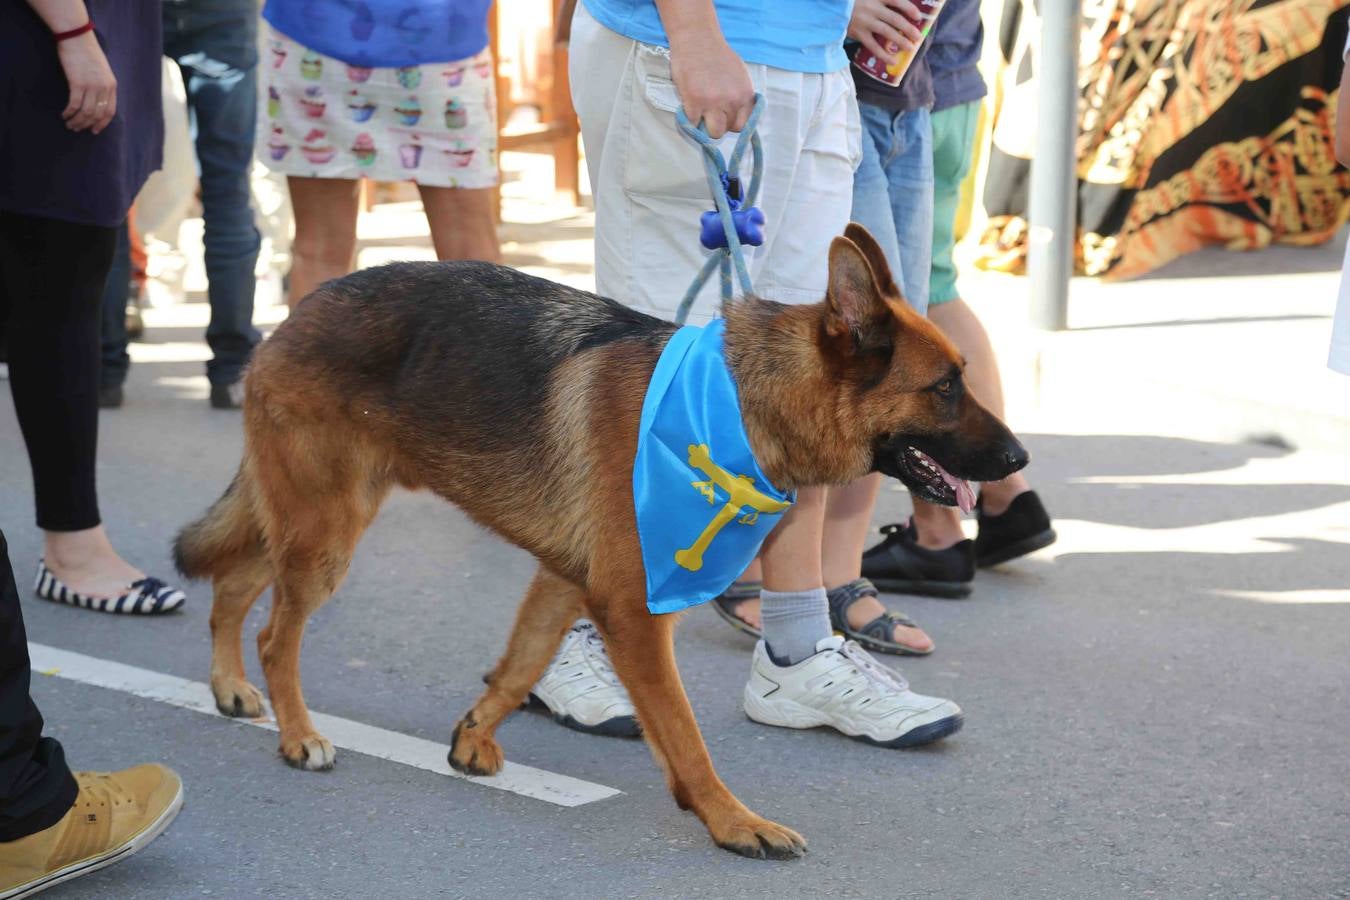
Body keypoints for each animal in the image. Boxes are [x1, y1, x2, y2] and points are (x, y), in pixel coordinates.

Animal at [176, 223, 1020, 858]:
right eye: (946, 387)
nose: (1020, 460)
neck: (741, 403)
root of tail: (298, 309)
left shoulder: (564, 579)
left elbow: (520, 666)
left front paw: (473, 737)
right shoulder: (633, 609)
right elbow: (682, 732)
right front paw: (732, 820)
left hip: (309, 522)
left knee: (232, 586)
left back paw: (227, 687)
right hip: (326, 531)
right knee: (276, 633)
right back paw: (298, 735)